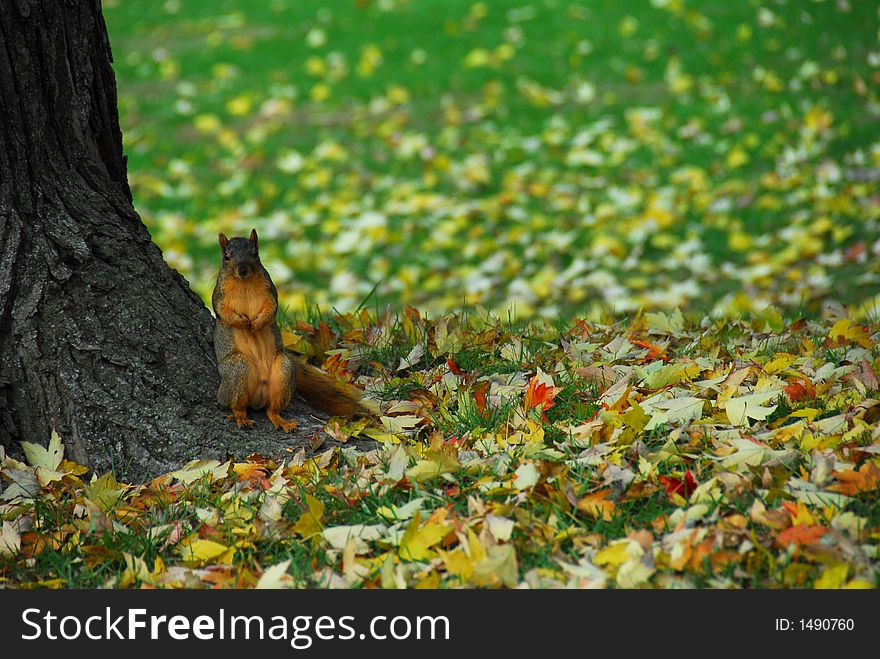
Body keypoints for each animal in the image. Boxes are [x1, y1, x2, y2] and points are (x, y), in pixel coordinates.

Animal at [213, 229, 364, 430]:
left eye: (255, 253)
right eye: (226, 256)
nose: (243, 270)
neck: (243, 282)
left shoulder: (270, 291)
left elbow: (271, 309)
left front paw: (256, 323)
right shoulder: (218, 296)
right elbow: (223, 313)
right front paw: (243, 323)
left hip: (283, 371)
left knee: (272, 410)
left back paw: (282, 422)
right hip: (237, 369)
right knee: (236, 405)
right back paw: (241, 417)